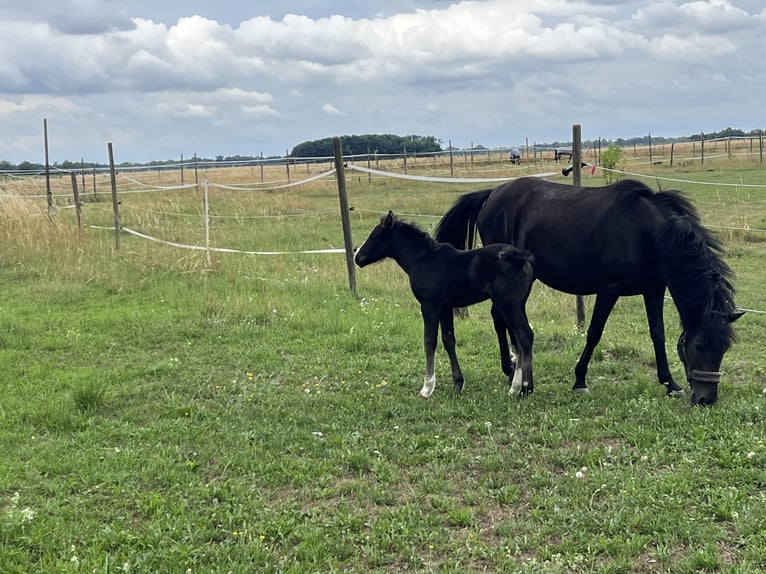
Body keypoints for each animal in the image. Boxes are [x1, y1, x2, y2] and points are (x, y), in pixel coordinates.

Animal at [354, 211, 536, 399]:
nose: (357, 257)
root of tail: (520, 257)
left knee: (524, 336)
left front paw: (426, 388)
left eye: (375, 236)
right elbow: (448, 340)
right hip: (519, 304)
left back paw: (525, 388)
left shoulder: (429, 305)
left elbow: (429, 341)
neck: (422, 260)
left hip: (508, 305)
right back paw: (515, 387)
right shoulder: (445, 307)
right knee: (520, 339)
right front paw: (458, 383)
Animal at [435, 177, 743, 406]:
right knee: (500, 318)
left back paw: (514, 366)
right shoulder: (609, 289)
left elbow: (657, 333)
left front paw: (670, 383)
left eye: (724, 349)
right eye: (700, 346)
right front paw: (580, 380)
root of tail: (492, 193)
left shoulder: (654, 289)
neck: (646, 232)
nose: (706, 400)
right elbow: (594, 332)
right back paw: (511, 370)